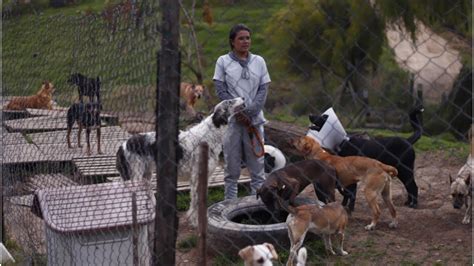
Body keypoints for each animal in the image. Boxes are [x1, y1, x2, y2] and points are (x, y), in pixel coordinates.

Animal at [116, 97, 246, 227]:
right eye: (230, 101)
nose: (243, 98)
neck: (210, 133)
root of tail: (123, 145)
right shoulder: (196, 177)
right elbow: (195, 201)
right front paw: (195, 222)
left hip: (146, 176)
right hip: (136, 178)